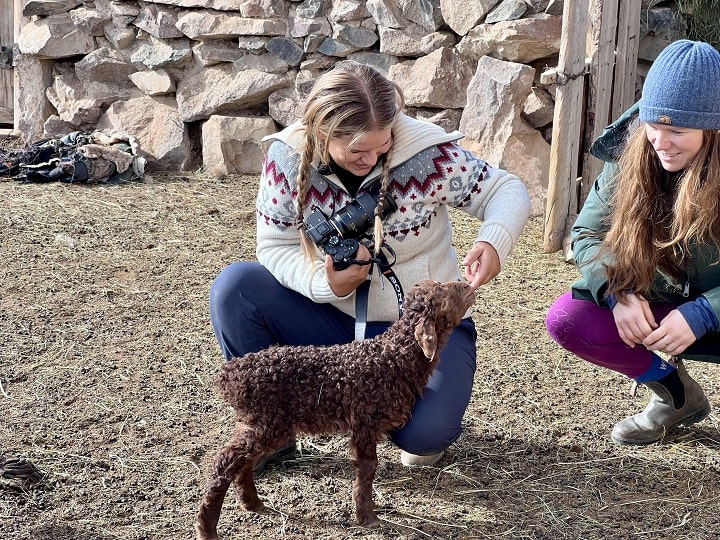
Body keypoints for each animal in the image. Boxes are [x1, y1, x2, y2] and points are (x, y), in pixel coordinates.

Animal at [197, 280, 478, 536]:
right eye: (445, 293)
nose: (467, 284)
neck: (392, 358)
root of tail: (230, 375)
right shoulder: (366, 420)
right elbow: (368, 467)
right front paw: (367, 517)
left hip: (258, 422)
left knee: (241, 460)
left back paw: (252, 503)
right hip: (267, 422)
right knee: (225, 461)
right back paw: (207, 528)